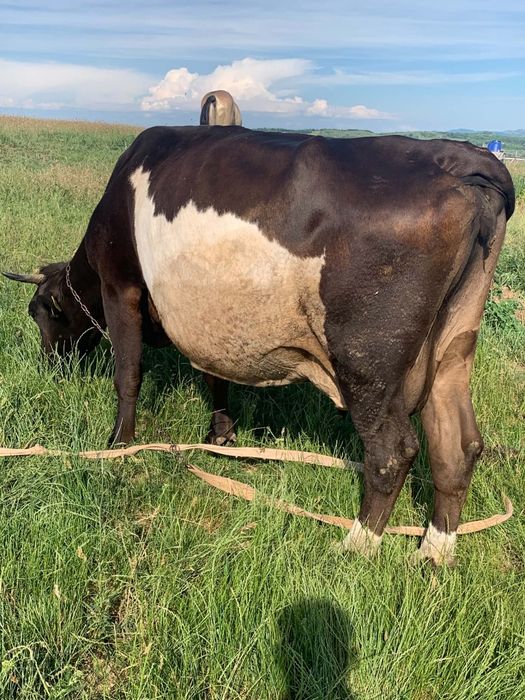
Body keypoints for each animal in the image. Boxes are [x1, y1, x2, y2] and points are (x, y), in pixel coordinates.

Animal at [4, 126, 514, 566]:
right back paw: (435, 552)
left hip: (367, 359)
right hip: (453, 346)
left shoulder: (120, 284)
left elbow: (127, 372)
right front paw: (221, 436)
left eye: (37, 312)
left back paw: (355, 546)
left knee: (393, 452)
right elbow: (215, 376)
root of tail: (460, 162)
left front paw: (118, 444)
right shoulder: (208, 317)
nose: (48, 366)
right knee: (458, 445)